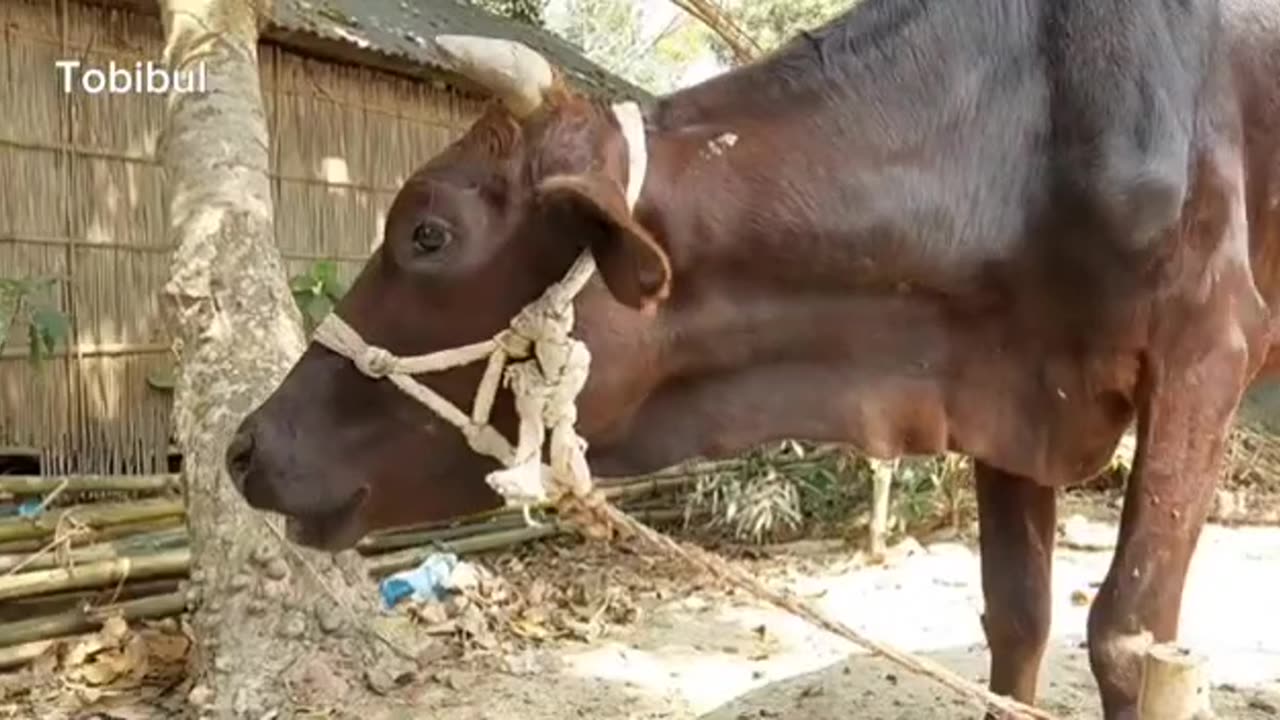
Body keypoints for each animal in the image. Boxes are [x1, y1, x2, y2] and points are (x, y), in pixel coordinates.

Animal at [230, 2, 1280, 712]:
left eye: (429, 232)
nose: (245, 447)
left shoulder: (1206, 354)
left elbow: (1127, 639)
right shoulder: (1011, 393)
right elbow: (1016, 619)